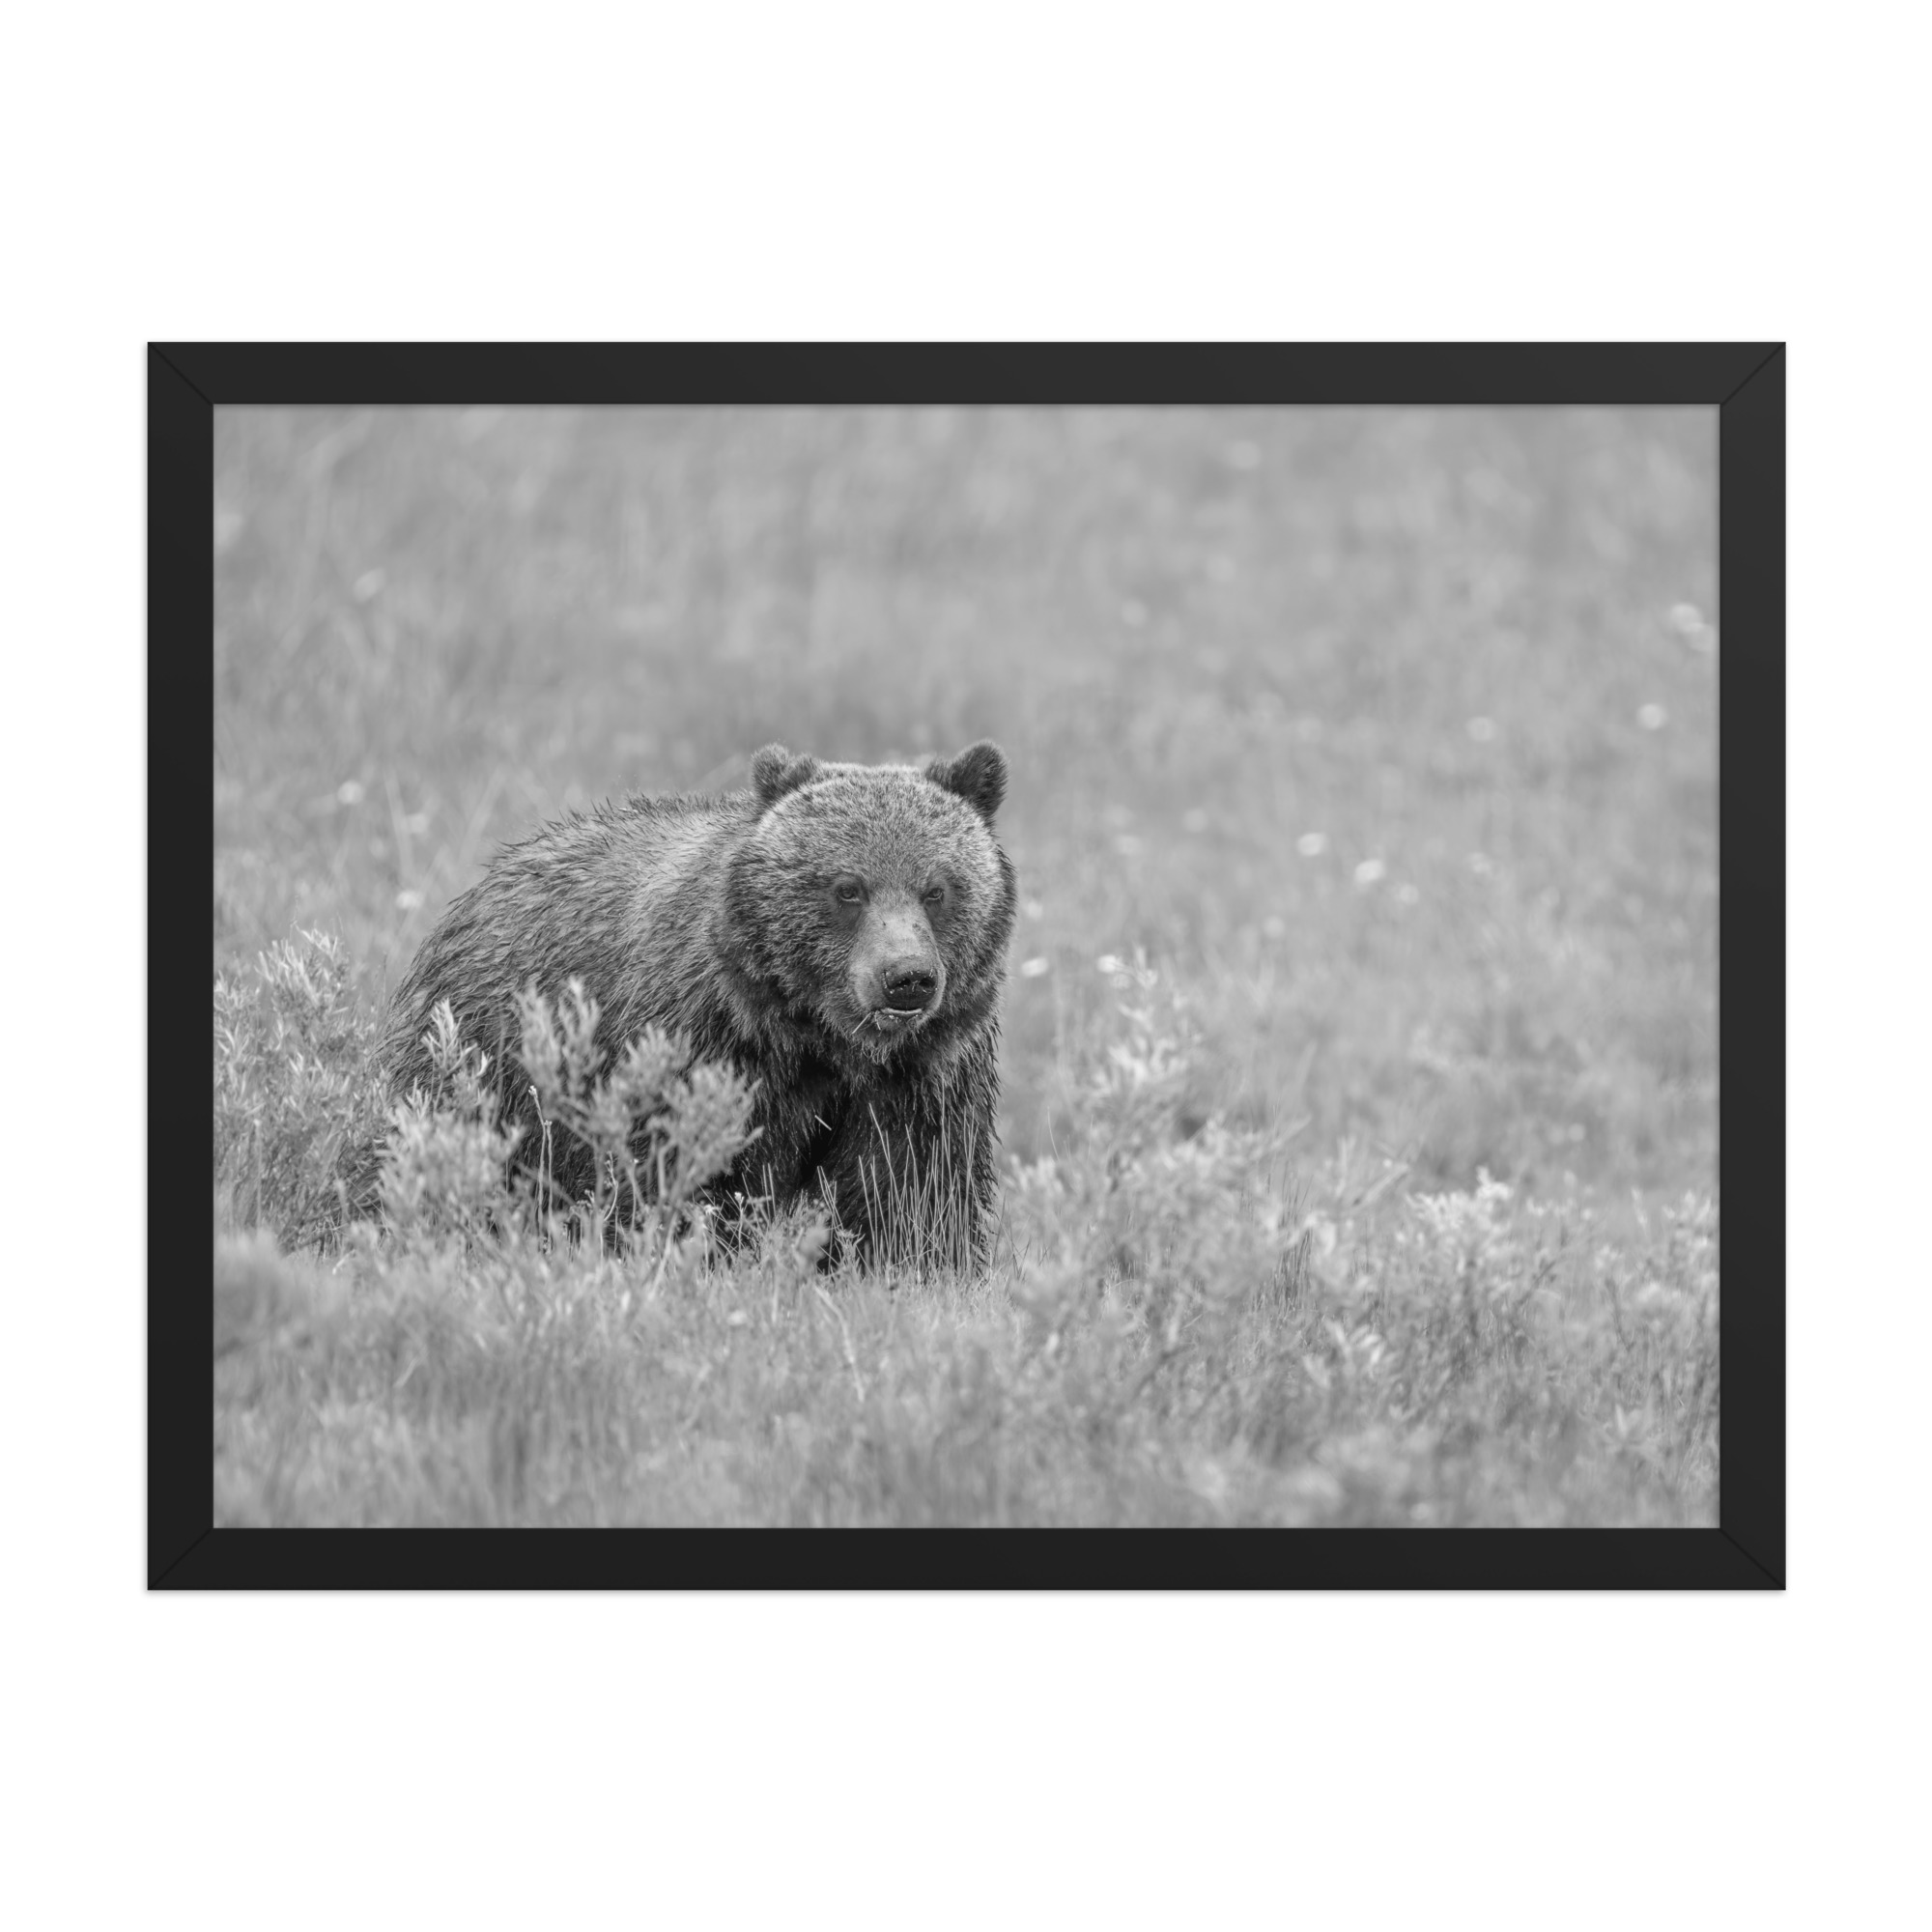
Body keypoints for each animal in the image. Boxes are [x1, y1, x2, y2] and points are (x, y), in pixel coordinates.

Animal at [379, 741, 1016, 1269]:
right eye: (847, 888)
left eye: (936, 889)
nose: (906, 978)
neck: (820, 1039)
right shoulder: (703, 1044)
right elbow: (682, 1171)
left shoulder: (924, 1075)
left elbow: (913, 1192)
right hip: (486, 1059)